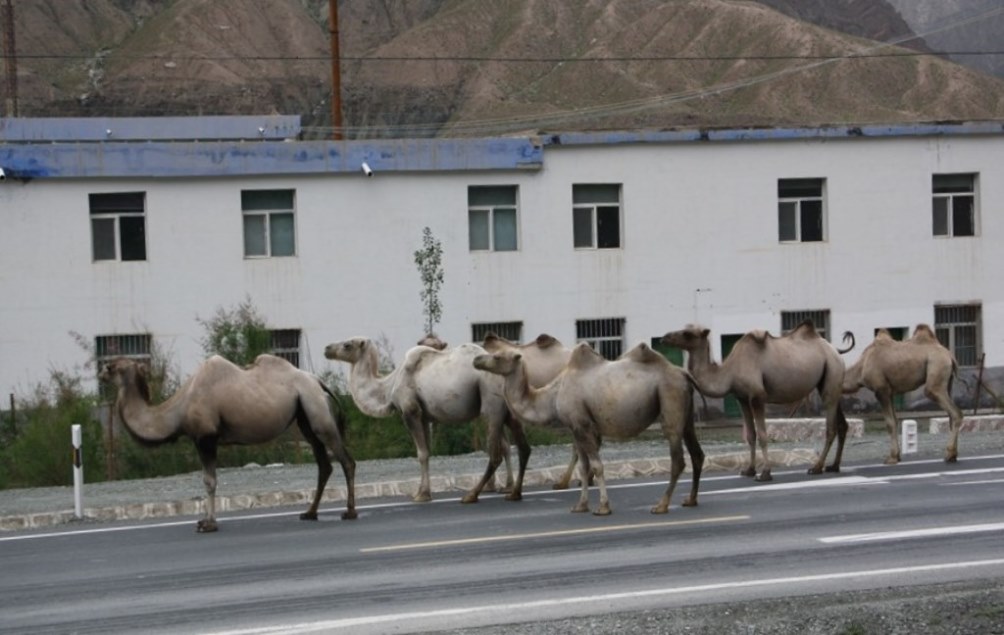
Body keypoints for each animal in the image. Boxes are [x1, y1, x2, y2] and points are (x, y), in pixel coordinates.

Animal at [99, 355, 359, 534]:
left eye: (111, 366)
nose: (100, 373)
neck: (178, 410)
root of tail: (318, 382)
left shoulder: (206, 437)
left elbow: (210, 481)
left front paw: (209, 524)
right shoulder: (200, 440)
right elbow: (207, 480)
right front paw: (204, 520)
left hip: (318, 413)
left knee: (346, 460)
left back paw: (349, 512)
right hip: (305, 416)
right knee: (324, 464)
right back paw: (309, 512)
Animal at [323, 335, 530, 504]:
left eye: (347, 345)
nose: (327, 348)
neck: (389, 386)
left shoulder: (410, 411)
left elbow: (421, 453)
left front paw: (421, 495)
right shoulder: (424, 416)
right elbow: (427, 452)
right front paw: (424, 492)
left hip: (489, 403)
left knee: (496, 450)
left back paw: (474, 494)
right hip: (506, 409)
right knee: (514, 446)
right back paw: (509, 488)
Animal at [471, 341, 702, 514]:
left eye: (498, 357)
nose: (476, 360)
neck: (552, 395)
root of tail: (683, 374)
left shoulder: (583, 425)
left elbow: (597, 466)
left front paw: (603, 507)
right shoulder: (575, 428)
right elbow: (583, 468)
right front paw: (580, 506)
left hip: (670, 399)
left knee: (677, 458)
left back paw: (661, 505)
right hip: (687, 411)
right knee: (696, 453)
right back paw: (690, 500)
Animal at [662, 321, 851, 480]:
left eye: (687, 334)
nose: (665, 337)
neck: (729, 372)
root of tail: (836, 351)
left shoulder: (758, 397)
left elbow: (762, 435)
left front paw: (765, 473)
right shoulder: (742, 399)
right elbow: (751, 435)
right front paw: (749, 470)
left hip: (832, 372)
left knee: (831, 427)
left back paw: (817, 467)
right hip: (828, 382)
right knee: (842, 424)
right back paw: (834, 466)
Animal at [847, 325, 963, 464]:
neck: (861, 368)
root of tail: (950, 356)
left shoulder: (881, 390)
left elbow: (890, 423)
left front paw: (891, 458)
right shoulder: (890, 392)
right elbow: (895, 421)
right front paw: (897, 456)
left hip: (936, 375)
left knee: (954, 412)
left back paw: (949, 455)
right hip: (947, 382)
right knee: (951, 414)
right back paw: (953, 455)